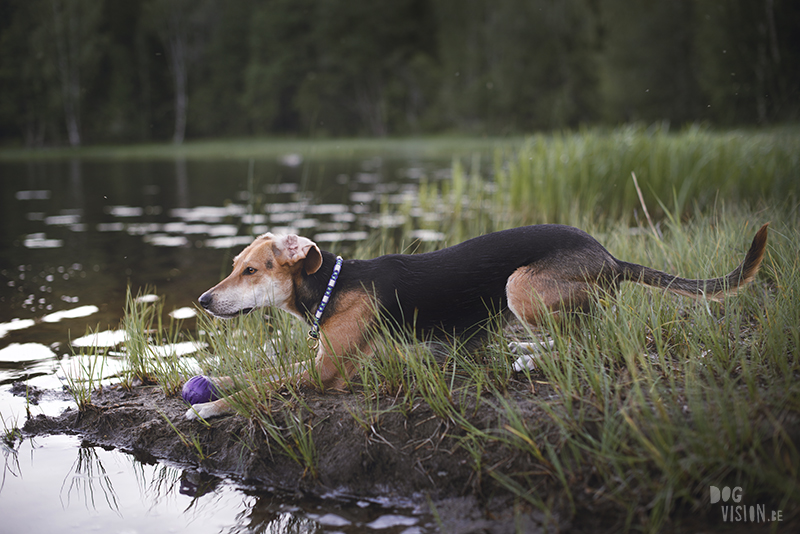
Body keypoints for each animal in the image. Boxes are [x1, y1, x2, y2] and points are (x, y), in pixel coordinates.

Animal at [188, 224, 768, 420]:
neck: (330, 285)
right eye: (234, 265)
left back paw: (528, 358)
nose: (202, 299)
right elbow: (257, 375)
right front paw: (211, 382)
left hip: (520, 287)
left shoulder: (327, 374)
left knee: (584, 341)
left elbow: (262, 388)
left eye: (251, 270)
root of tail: (609, 256)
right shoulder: (317, 363)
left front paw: (209, 407)